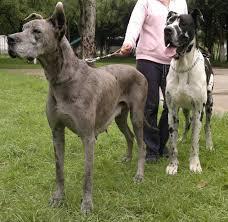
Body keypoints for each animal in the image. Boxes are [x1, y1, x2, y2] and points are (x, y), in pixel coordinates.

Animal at [164, 9, 214, 175]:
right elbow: (172, 144)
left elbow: (195, 141)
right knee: (187, 122)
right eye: (169, 21)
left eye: (183, 23)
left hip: (209, 106)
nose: (167, 30)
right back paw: (183, 138)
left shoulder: (198, 110)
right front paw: (173, 165)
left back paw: (210, 145)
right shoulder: (172, 110)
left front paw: (195, 165)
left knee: (207, 127)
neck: (183, 67)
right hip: (185, 109)